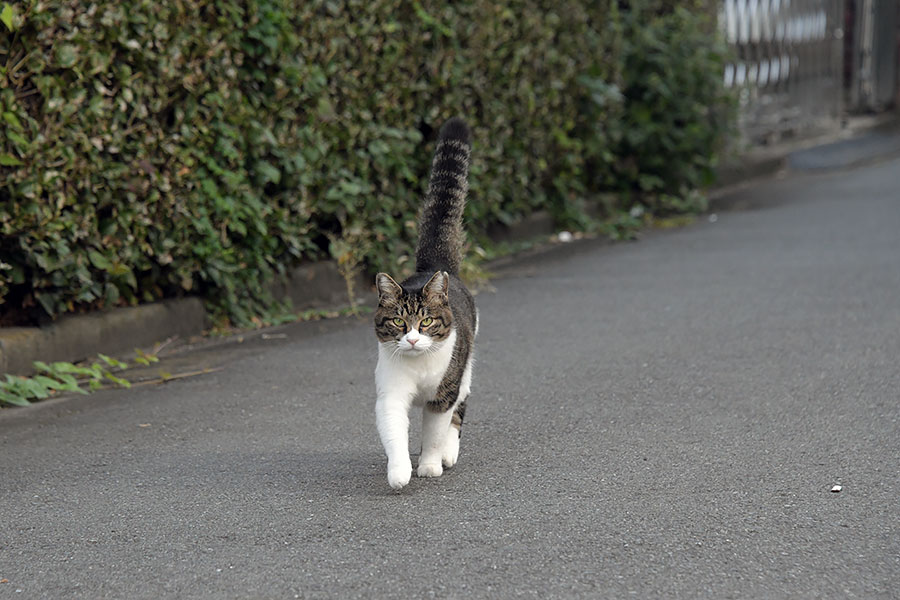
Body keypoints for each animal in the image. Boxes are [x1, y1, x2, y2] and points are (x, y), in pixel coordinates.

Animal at [372, 116, 478, 488]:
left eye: (427, 321)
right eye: (399, 322)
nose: (414, 340)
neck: (418, 367)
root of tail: (434, 267)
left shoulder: (442, 393)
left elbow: (434, 432)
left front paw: (430, 464)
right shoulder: (391, 394)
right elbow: (394, 433)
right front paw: (399, 471)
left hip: (465, 371)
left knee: (460, 411)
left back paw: (448, 453)